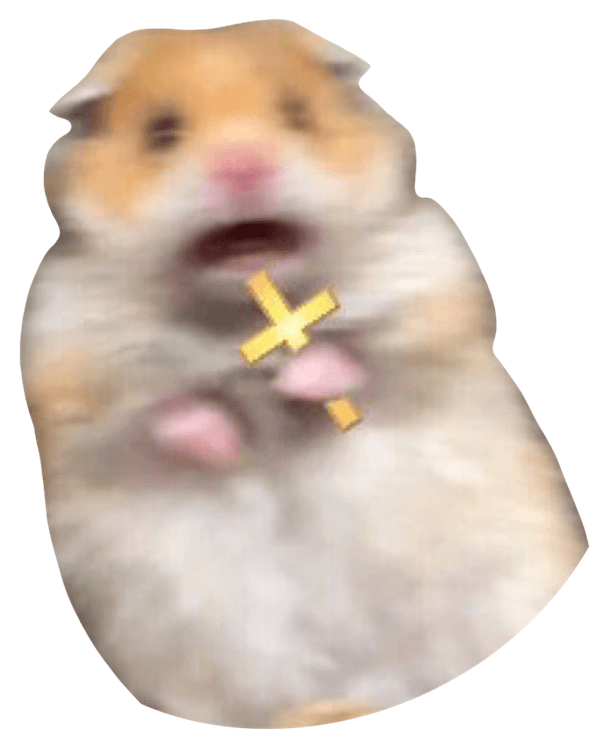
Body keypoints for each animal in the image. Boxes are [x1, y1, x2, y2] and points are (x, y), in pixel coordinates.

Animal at [21, 22, 586, 728]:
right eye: (160, 133)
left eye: (298, 116)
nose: (245, 168)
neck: (237, 316)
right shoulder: (68, 375)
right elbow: (162, 412)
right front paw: (227, 444)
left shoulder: (435, 301)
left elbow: (362, 355)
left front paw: (295, 384)